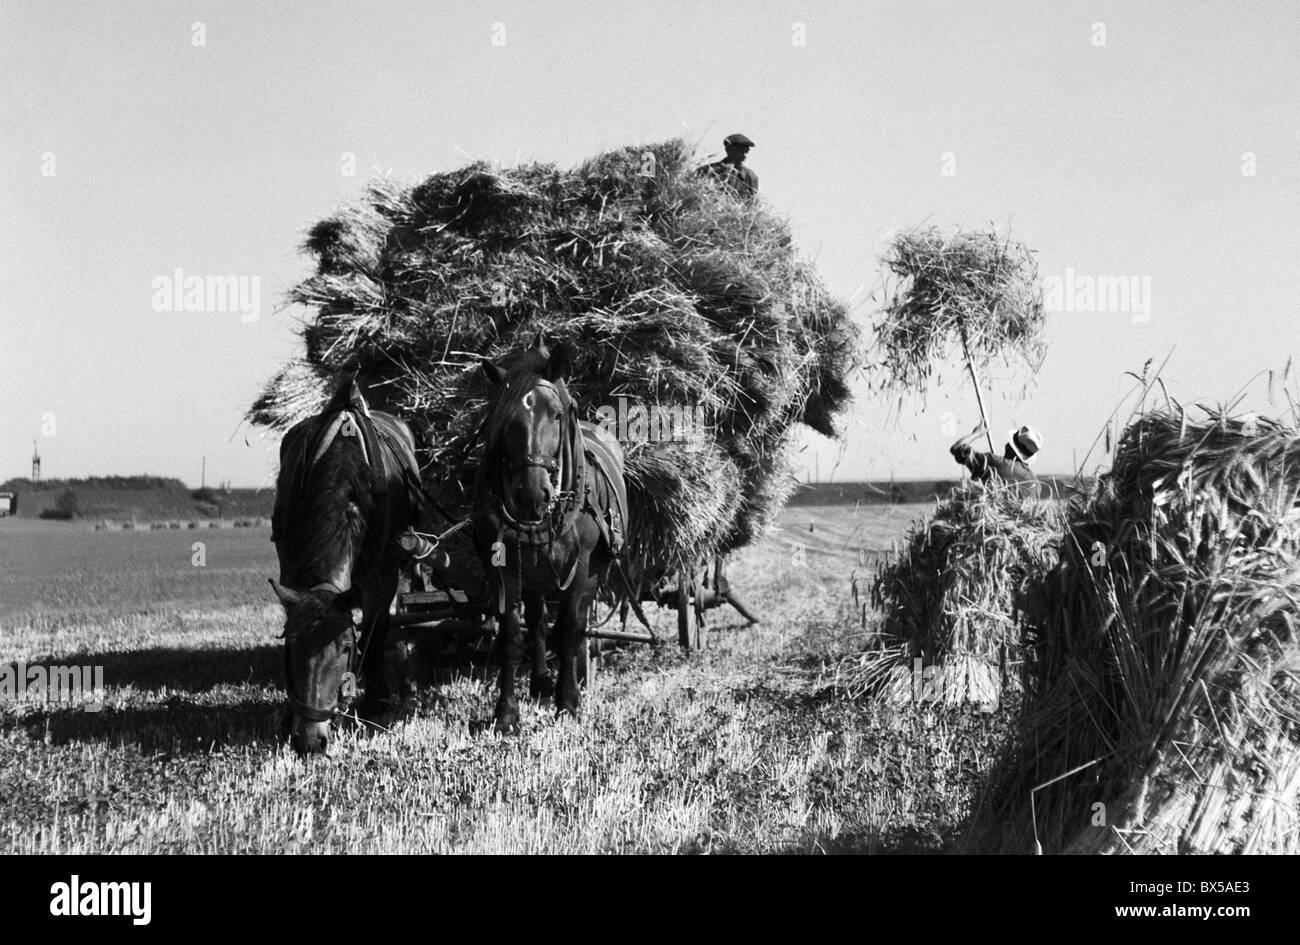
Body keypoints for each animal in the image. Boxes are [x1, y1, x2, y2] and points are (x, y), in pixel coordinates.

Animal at [269, 376, 421, 753]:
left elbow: (376, 632)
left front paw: (374, 703)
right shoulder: (290, 566)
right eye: (290, 645)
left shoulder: (382, 577)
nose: (311, 740)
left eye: (346, 649)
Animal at [475, 335, 626, 733]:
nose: (533, 494)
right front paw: (506, 713)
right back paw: (540, 682)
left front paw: (568, 703)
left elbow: (570, 631)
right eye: (505, 419)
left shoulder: (583, 569)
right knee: (538, 622)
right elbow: (512, 636)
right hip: (537, 575)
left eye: (556, 414)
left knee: (573, 626)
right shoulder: (504, 570)